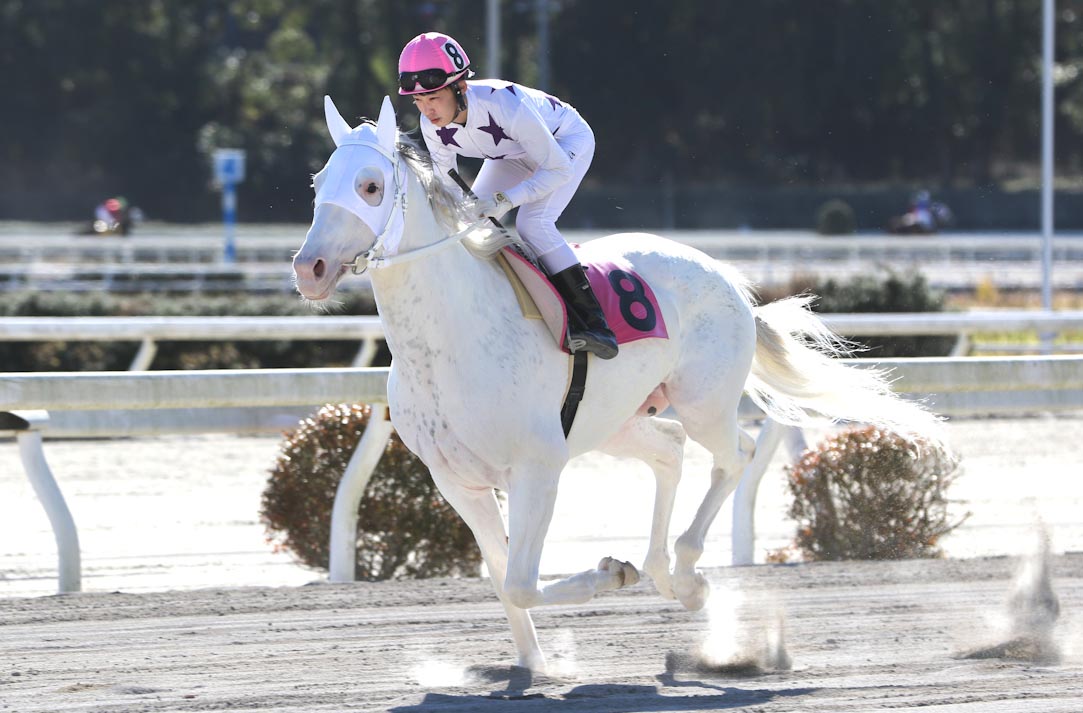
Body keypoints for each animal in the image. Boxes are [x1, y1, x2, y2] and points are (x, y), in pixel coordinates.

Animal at [292, 95, 944, 671]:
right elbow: (503, 580)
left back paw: (687, 576)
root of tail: (727, 277)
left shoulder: (538, 467)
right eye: (318, 182)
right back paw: (662, 571)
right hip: (615, 422)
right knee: (670, 451)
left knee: (735, 455)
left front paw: (609, 574)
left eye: (371, 186)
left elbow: (523, 581)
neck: (449, 340)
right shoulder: (458, 482)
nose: (309, 269)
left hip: (702, 401)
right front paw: (537, 665)